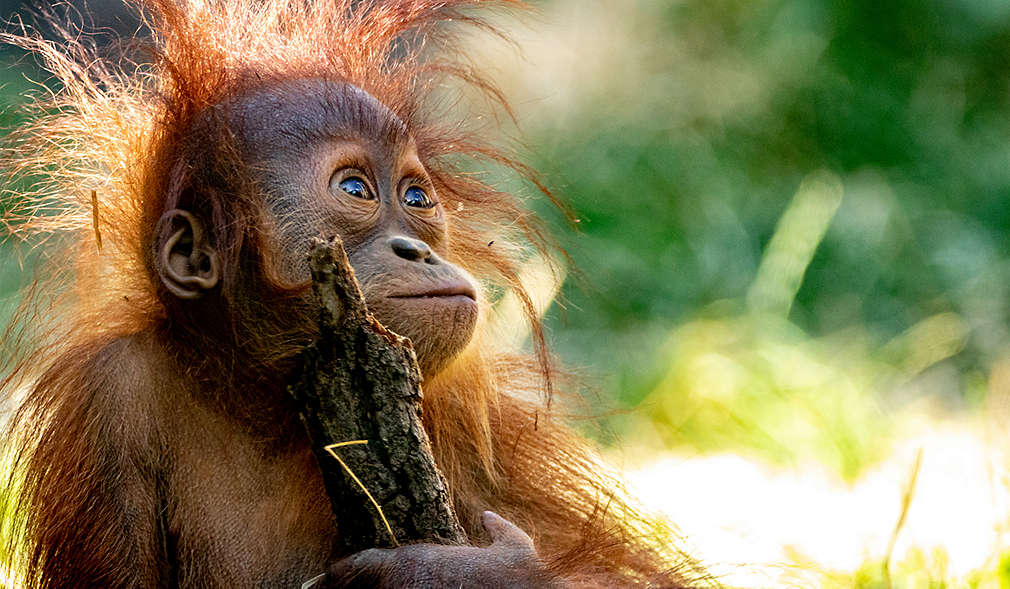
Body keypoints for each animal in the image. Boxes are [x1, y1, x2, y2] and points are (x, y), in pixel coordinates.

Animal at [0, 1, 709, 588]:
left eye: (417, 197)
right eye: (356, 190)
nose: (418, 251)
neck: (257, 403)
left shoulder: (463, 421)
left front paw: (453, 574)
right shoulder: (108, 397)